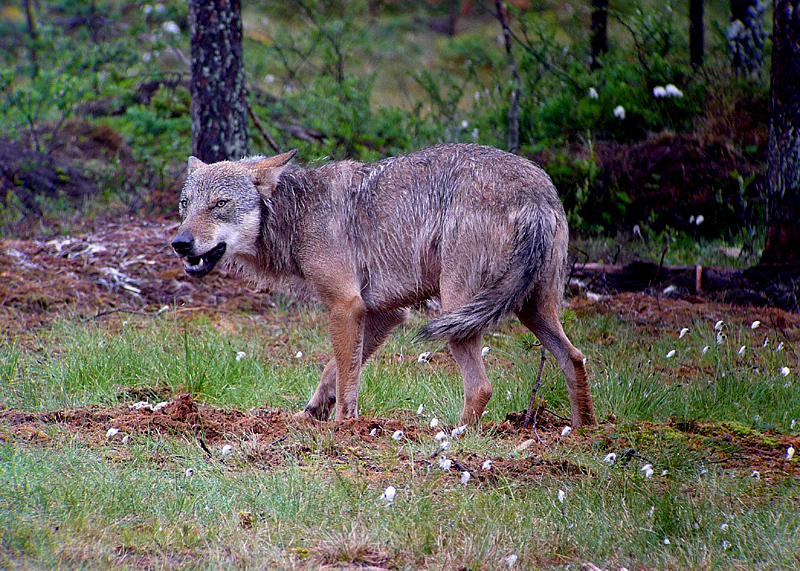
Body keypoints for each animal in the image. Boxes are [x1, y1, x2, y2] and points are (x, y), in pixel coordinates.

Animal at [177, 143, 600, 428]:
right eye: (186, 204)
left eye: (219, 204)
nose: (179, 243)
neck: (298, 213)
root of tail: (534, 192)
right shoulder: (386, 312)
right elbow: (333, 372)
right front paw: (310, 413)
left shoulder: (346, 305)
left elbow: (347, 379)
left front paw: (343, 429)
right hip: (530, 309)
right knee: (574, 358)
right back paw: (585, 436)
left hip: (458, 313)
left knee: (481, 387)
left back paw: (453, 439)